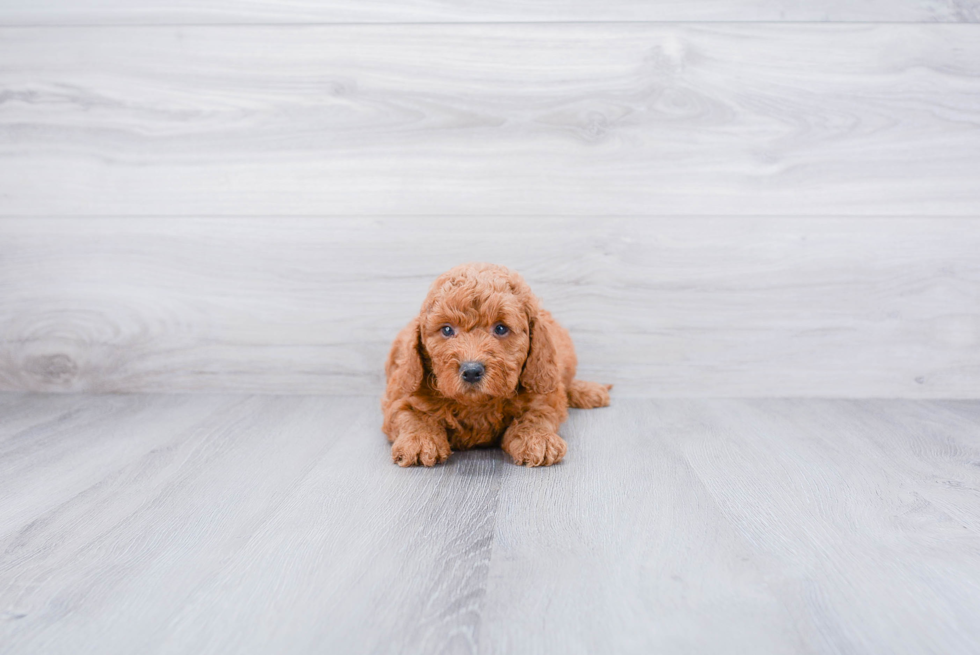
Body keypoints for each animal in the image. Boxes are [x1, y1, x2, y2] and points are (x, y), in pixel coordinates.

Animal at [384, 262, 608, 466]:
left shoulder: (544, 394)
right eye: (447, 330)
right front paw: (419, 440)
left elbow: (536, 414)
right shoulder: (400, 392)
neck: (476, 404)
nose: (471, 371)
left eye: (500, 328)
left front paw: (538, 438)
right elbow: (410, 414)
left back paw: (588, 391)